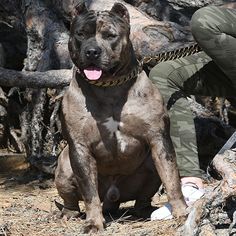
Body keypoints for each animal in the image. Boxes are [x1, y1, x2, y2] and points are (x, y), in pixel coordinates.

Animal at [55, 1, 186, 233]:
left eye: (110, 35)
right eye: (80, 34)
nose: (92, 51)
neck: (109, 87)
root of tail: (113, 198)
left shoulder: (159, 139)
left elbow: (172, 180)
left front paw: (182, 213)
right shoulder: (80, 147)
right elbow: (89, 194)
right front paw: (93, 223)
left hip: (150, 165)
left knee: (143, 196)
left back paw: (146, 210)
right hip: (64, 165)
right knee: (73, 199)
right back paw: (69, 214)